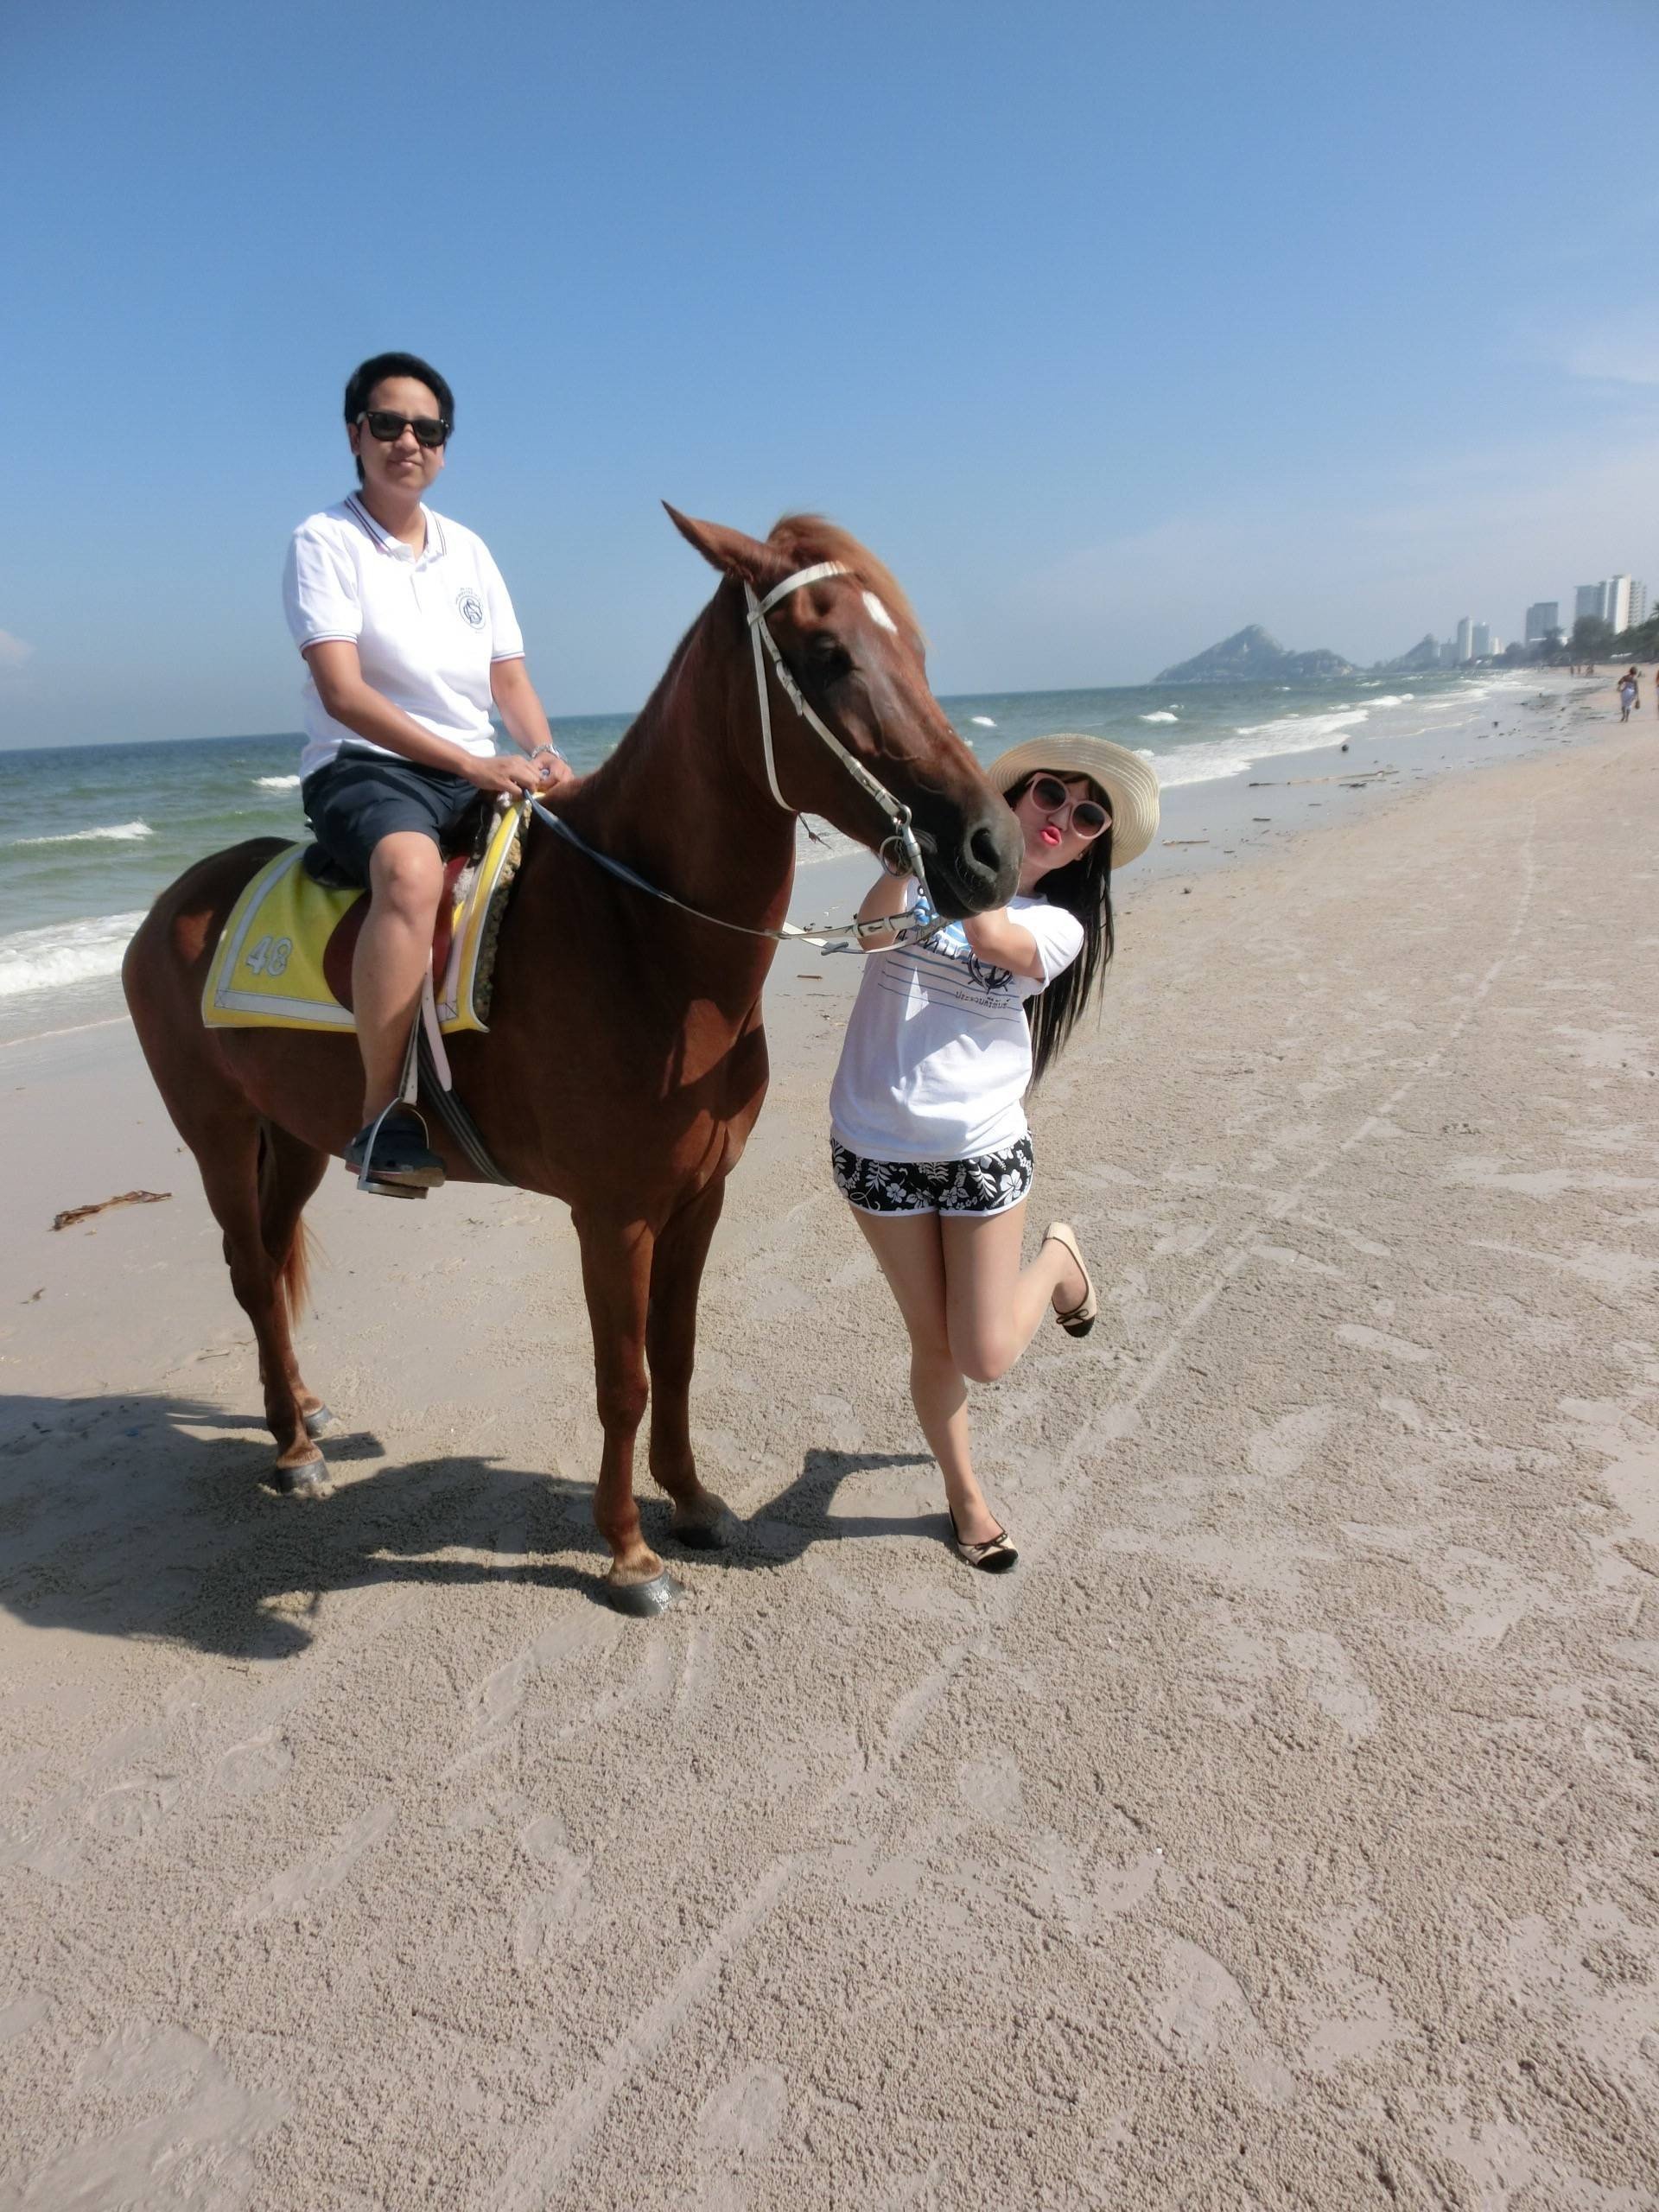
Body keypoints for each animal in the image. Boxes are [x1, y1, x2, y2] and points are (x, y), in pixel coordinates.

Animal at [123, 506, 1021, 1610]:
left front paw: (692, 1503)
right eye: (828, 655)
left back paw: (303, 1412)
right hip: (215, 1131)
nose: (992, 848)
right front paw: (628, 1549)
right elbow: (623, 1377)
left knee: (273, 1254)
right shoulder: (614, 1214)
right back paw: (292, 1452)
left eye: (916, 651)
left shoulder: (698, 1196)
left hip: (292, 1137)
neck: (639, 933)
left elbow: (676, 1355)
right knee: (252, 1273)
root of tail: (172, 904)